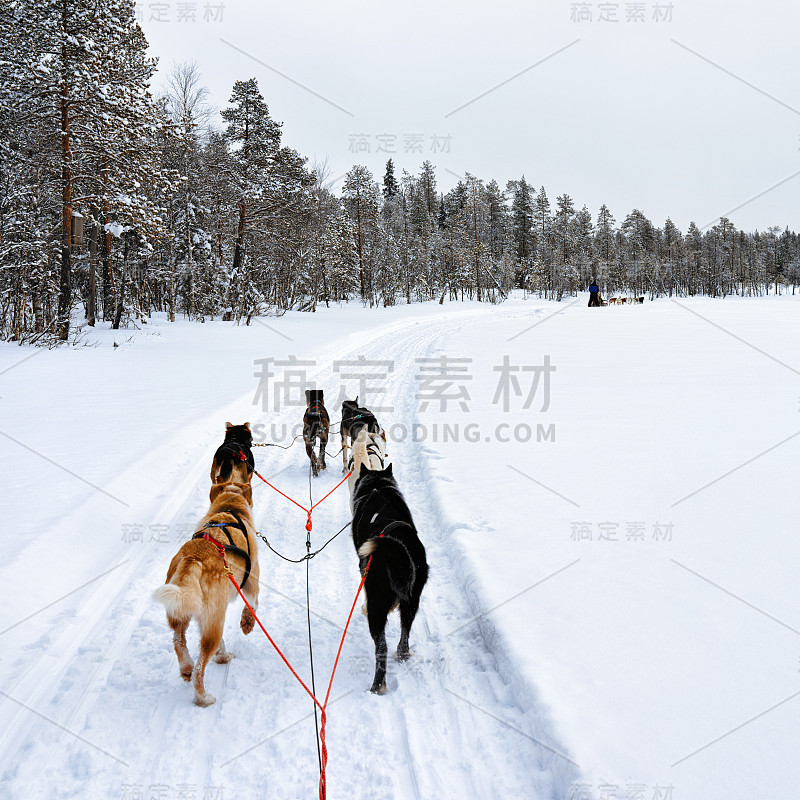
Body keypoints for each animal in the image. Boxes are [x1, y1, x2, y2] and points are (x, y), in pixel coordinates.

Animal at [153, 482, 260, 708]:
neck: (229, 508)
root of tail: (193, 558)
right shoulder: (252, 583)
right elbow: (253, 604)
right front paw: (247, 622)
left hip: (186, 611)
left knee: (178, 641)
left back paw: (187, 667)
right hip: (214, 621)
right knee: (200, 667)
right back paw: (203, 697)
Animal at [348, 444, 424, 692]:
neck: (378, 485)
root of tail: (396, 549)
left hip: (377, 605)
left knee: (381, 647)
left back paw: (376, 686)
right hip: (412, 600)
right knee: (405, 632)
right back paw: (402, 654)